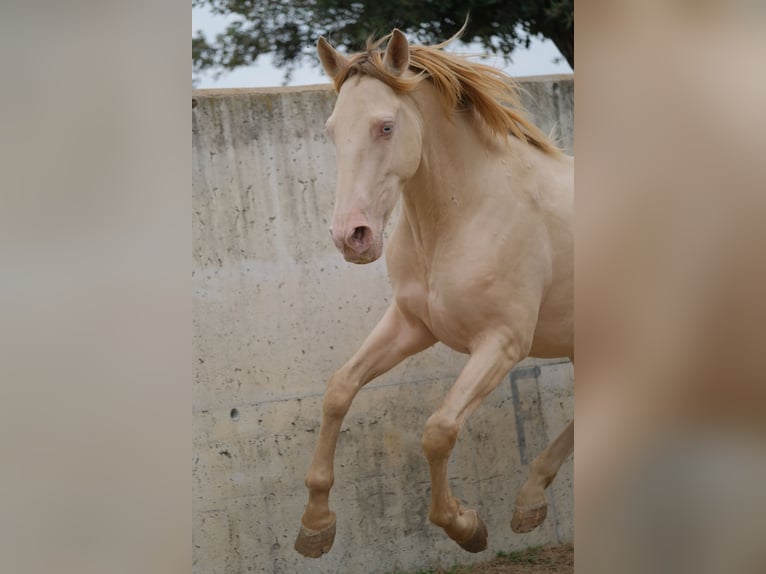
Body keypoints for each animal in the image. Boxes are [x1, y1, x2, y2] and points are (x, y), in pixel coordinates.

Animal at [296, 29, 572, 560]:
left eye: (385, 126)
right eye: (332, 130)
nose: (351, 237)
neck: (462, 216)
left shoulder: (503, 343)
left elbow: (438, 431)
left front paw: (466, 527)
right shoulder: (411, 325)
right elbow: (339, 389)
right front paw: (315, 526)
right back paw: (531, 501)